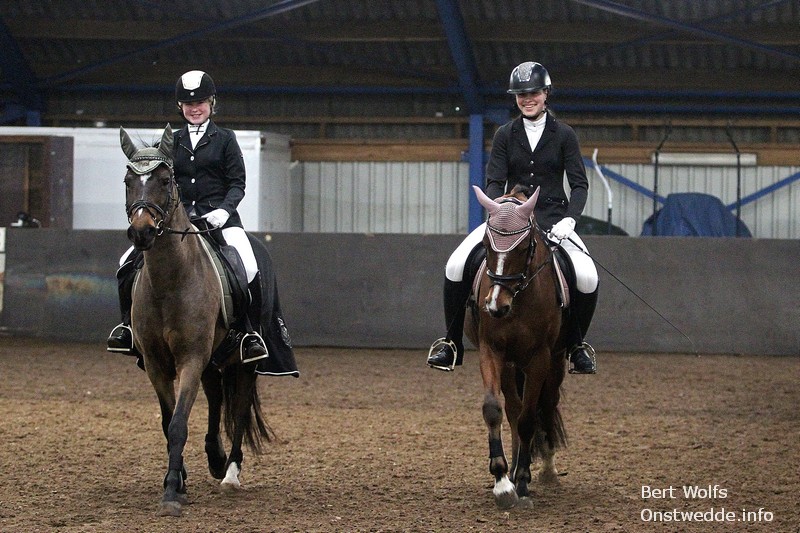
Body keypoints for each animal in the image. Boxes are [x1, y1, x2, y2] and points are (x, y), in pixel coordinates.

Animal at [120, 125, 279, 516]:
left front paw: (171, 493)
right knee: (216, 395)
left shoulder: (191, 357)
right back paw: (214, 457)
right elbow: (168, 422)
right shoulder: (157, 363)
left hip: (243, 360)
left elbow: (179, 424)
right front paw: (178, 479)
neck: (170, 280)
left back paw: (230, 473)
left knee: (239, 407)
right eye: (129, 180)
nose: (142, 232)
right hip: (212, 356)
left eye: (165, 179)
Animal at [464, 184, 568, 510]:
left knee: (545, 406)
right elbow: (494, 410)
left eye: (523, 249)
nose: (496, 307)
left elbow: (528, 420)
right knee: (512, 408)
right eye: (486, 244)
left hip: (556, 362)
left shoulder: (539, 358)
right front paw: (502, 481)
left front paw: (522, 482)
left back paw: (546, 469)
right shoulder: (491, 351)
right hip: (510, 365)